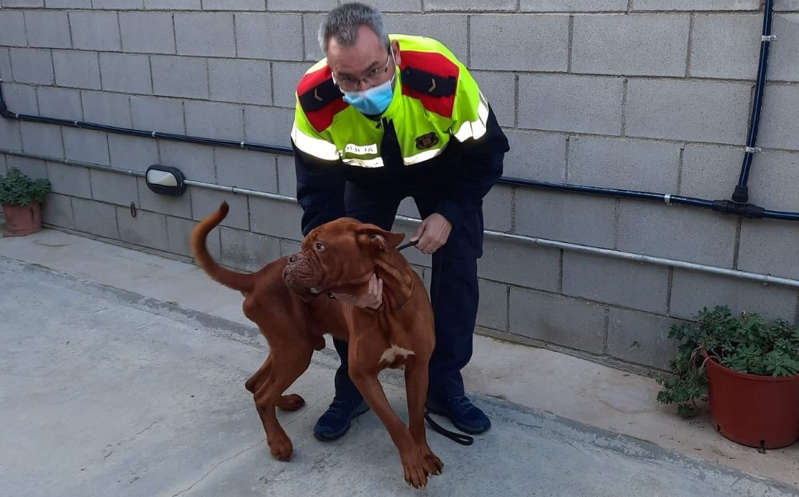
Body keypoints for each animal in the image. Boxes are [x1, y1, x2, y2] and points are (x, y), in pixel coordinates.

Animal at [191, 202, 446, 488]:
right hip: (296, 350)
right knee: (261, 394)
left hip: (290, 347)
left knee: (255, 384)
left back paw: (284, 403)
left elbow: (416, 419)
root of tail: (256, 277)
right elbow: (395, 424)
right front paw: (413, 464)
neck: (387, 303)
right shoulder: (363, 374)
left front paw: (425, 455)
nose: (292, 259)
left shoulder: (418, 367)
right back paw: (279, 443)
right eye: (304, 246)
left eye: (320, 247)